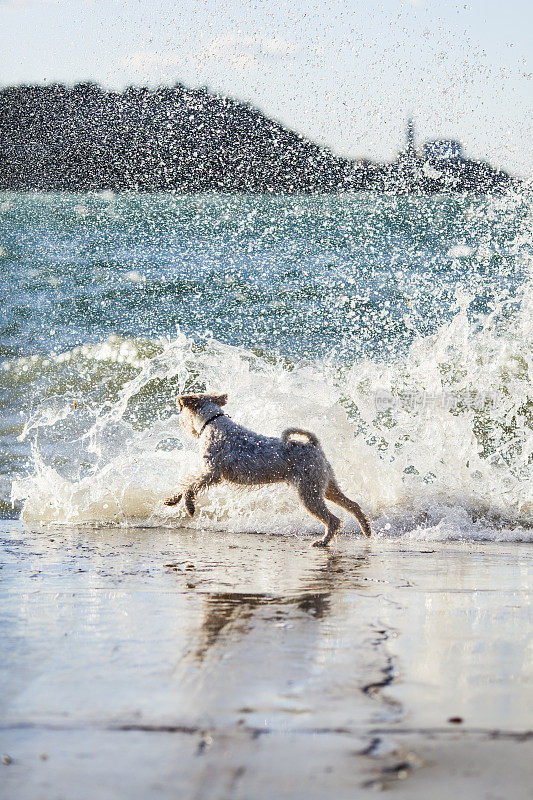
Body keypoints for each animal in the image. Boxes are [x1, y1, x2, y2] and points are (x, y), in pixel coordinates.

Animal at [164, 392, 372, 548]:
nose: (180, 423)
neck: (213, 422)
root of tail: (314, 446)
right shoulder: (208, 473)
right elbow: (185, 484)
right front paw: (172, 499)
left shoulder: (211, 473)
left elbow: (190, 486)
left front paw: (189, 507)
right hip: (326, 487)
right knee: (353, 505)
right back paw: (366, 529)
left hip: (309, 493)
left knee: (333, 520)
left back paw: (323, 542)